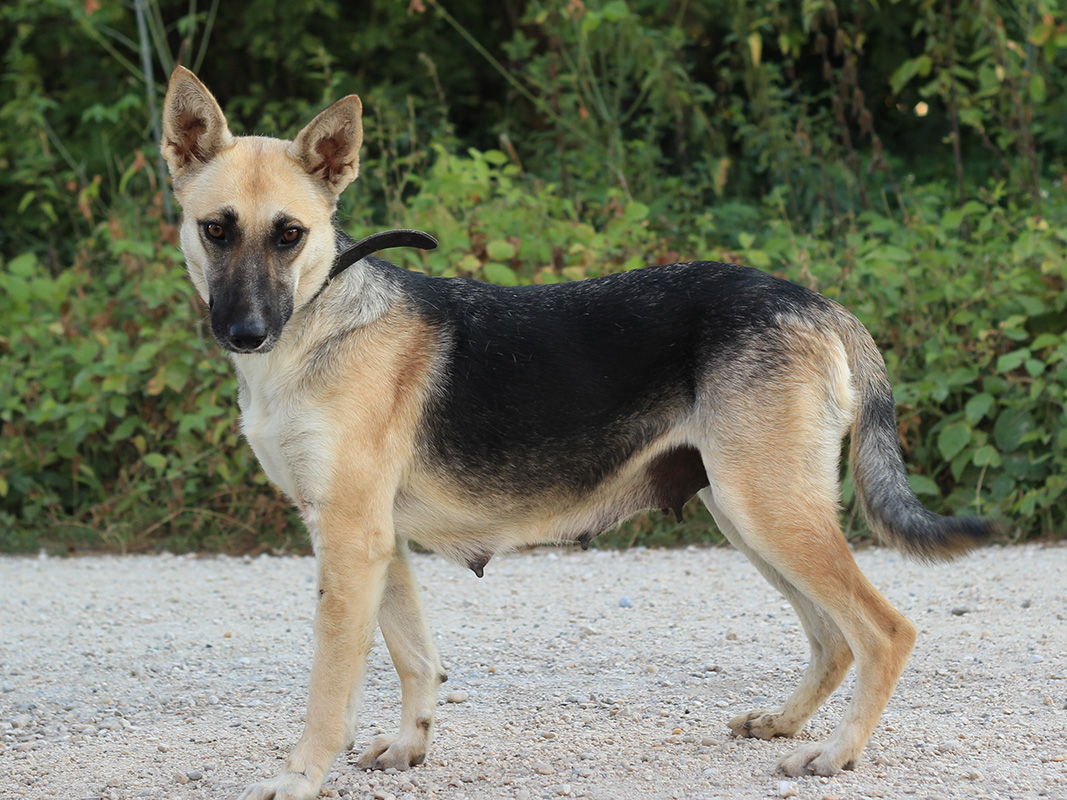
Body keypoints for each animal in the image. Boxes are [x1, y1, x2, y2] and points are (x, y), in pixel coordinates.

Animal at [161, 66, 993, 800]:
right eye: (216, 230)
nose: (245, 333)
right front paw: (407, 747)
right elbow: (415, 659)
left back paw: (836, 754)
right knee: (831, 638)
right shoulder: (372, 540)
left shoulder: (348, 539)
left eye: (290, 235)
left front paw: (298, 778)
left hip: (770, 511)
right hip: (749, 512)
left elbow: (331, 692)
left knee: (882, 632)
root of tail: (815, 302)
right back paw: (786, 725)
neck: (318, 316)